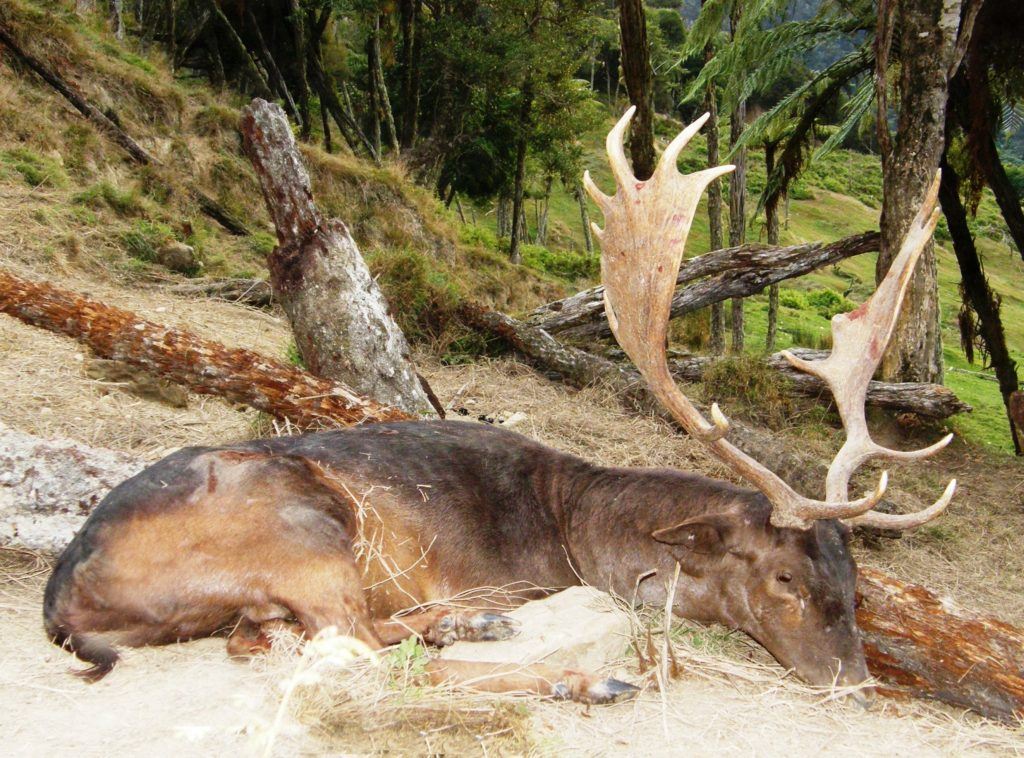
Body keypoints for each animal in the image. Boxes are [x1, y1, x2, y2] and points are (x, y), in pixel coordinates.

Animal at [44, 109, 954, 708]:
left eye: (856, 581)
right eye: (784, 576)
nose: (858, 683)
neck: (578, 531)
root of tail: (62, 596)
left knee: (282, 638)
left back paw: (471, 629)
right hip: (304, 528)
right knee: (354, 651)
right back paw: (580, 674)